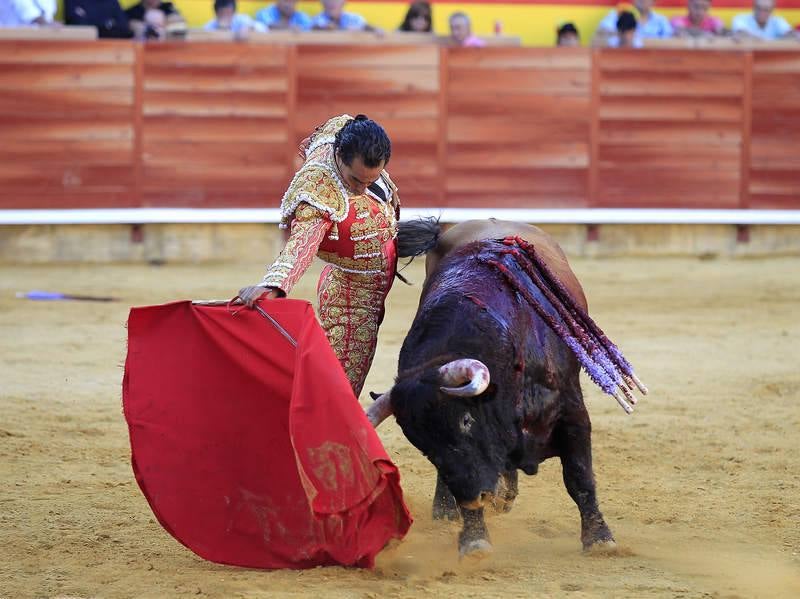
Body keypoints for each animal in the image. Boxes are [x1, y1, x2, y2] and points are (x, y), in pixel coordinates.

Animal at [368, 219, 644, 556]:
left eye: (466, 420)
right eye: (421, 443)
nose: (477, 495)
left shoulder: (572, 412)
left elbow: (579, 476)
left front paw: (600, 539)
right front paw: (474, 540)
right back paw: (448, 509)